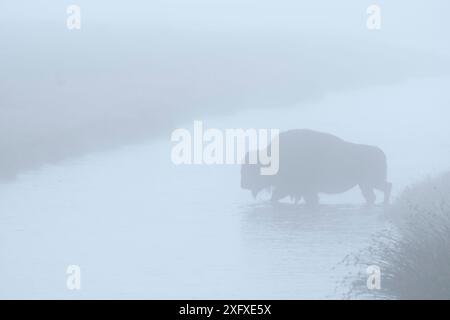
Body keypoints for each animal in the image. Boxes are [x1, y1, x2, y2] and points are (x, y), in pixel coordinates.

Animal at [241, 129, 392, 206]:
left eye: (251, 169)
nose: (243, 184)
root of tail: (381, 153)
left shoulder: (298, 189)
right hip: (365, 184)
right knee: (375, 193)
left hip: (370, 182)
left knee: (384, 188)